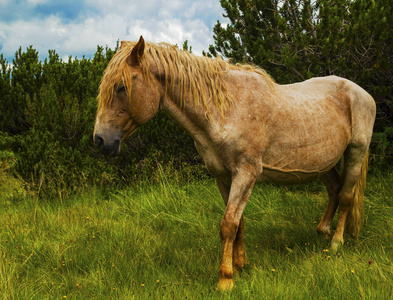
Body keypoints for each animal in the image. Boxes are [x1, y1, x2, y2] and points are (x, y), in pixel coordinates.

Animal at [93, 35, 376, 290]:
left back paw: (336, 243)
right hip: (324, 163)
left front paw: (225, 279)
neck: (225, 110)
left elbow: (228, 225)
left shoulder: (245, 174)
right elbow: (238, 223)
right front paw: (240, 266)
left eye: (121, 87)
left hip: (355, 152)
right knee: (335, 190)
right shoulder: (223, 176)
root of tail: (364, 93)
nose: (99, 140)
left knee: (347, 196)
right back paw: (322, 231)